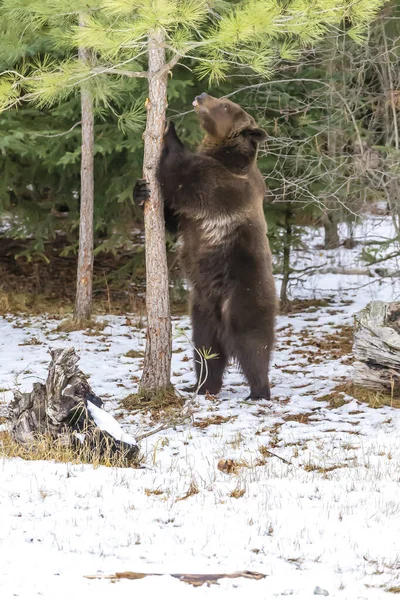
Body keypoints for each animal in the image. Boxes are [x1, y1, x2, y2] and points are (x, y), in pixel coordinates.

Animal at [134, 94, 276, 400]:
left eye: (225, 105)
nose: (201, 96)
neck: (225, 156)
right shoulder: (193, 216)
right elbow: (172, 218)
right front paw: (140, 190)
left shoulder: (223, 186)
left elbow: (183, 172)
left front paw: (170, 131)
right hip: (202, 307)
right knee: (205, 348)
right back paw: (202, 385)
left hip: (245, 290)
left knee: (252, 342)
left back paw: (259, 390)